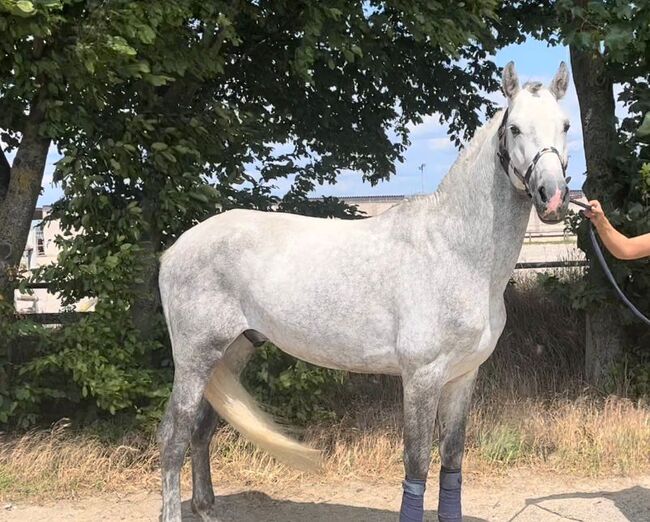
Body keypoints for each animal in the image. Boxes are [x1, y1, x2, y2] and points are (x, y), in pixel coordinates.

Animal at [159, 62, 568, 520]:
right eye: (514, 128)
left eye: (566, 125)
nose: (553, 197)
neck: (455, 251)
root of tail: (175, 248)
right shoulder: (422, 376)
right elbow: (416, 464)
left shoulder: (463, 376)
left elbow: (452, 460)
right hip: (195, 357)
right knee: (174, 438)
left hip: (232, 352)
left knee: (201, 431)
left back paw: (206, 508)